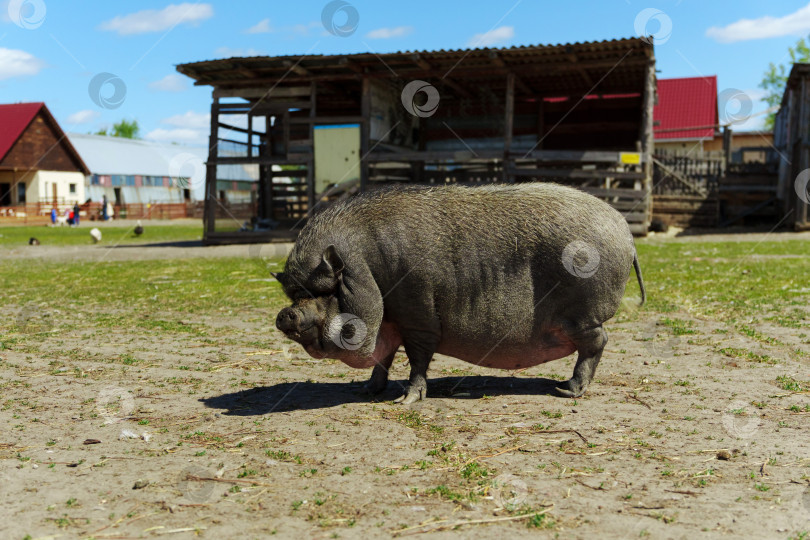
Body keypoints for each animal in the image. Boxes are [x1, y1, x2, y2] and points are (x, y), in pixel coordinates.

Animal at [274, 184, 644, 402]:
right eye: (293, 294)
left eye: (325, 291)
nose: (286, 314)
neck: (367, 268)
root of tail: (624, 230)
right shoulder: (388, 322)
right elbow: (384, 358)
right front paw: (367, 390)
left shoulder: (418, 314)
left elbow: (417, 358)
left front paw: (406, 401)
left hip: (582, 314)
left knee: (598, 341)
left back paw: (568, 390)